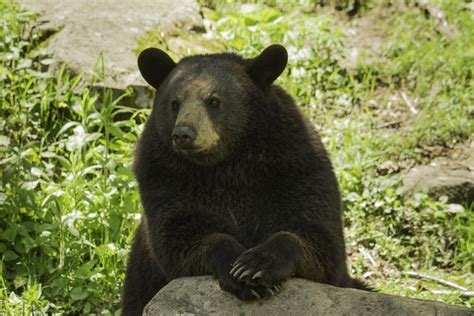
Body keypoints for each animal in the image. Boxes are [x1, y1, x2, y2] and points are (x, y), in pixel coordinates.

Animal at [122, 43, 366, 314]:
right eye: (174, 103)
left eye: (214, 101)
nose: (183, 134)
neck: (227, 164)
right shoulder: (164, 177)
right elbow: (178, 236)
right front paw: (236, 270)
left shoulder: (296, 166)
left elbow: (320, 238)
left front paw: (256, 264)